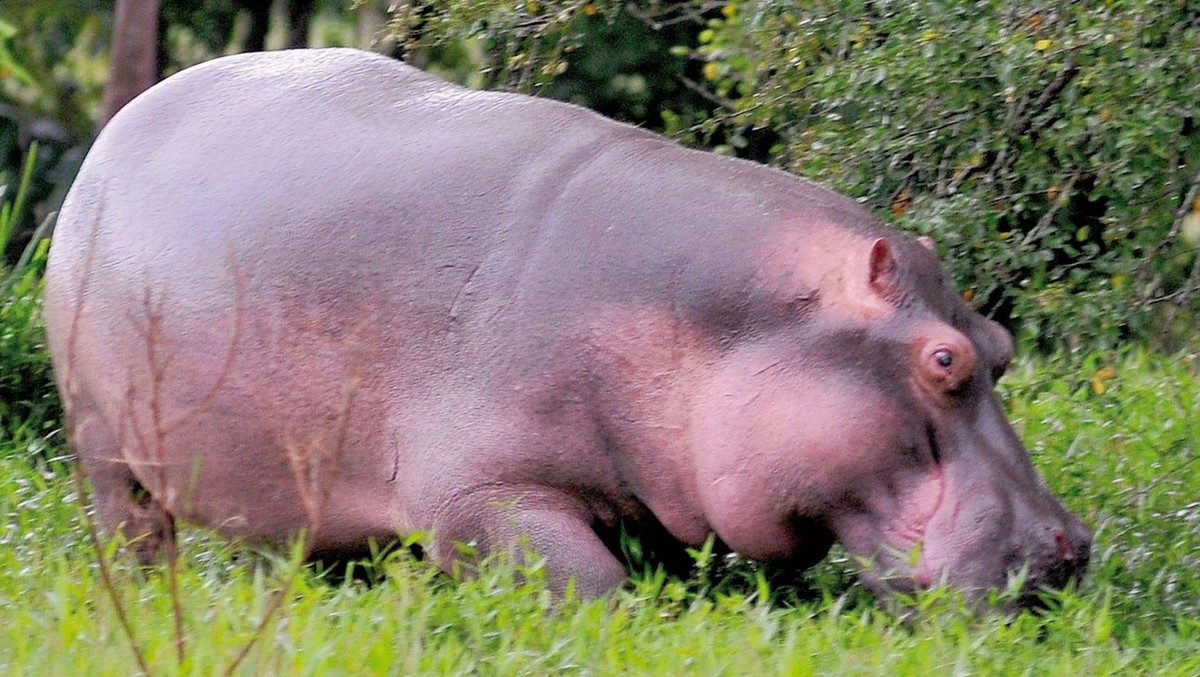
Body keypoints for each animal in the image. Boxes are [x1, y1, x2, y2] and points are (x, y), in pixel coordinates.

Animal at [44, 48, 1091, 605]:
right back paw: (149, 591)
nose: (1069, 549)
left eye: (1001, 347)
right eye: (943, 359)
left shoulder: (654, 488)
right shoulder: (483, 492)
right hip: (102, 443)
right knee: (130, 525)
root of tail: (123, 121)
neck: (728, 319)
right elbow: (594, 586)